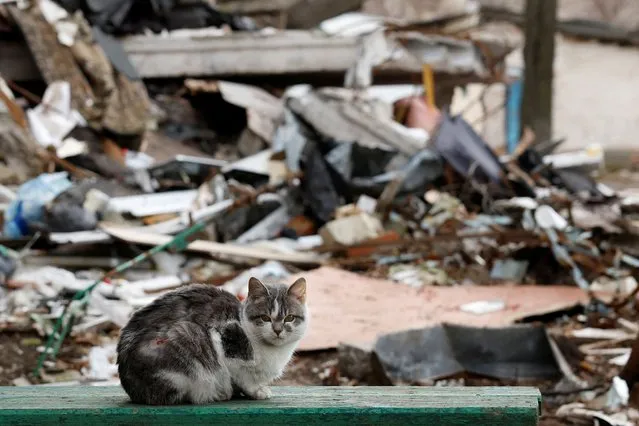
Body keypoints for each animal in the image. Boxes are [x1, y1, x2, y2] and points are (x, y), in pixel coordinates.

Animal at [116, 276, 308, 406]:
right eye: (265, 318)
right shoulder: (224, 341)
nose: (277, 330)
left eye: (289, 318)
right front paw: (256, 391)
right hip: (185, 338)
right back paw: (216, 394)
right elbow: (243, 377)